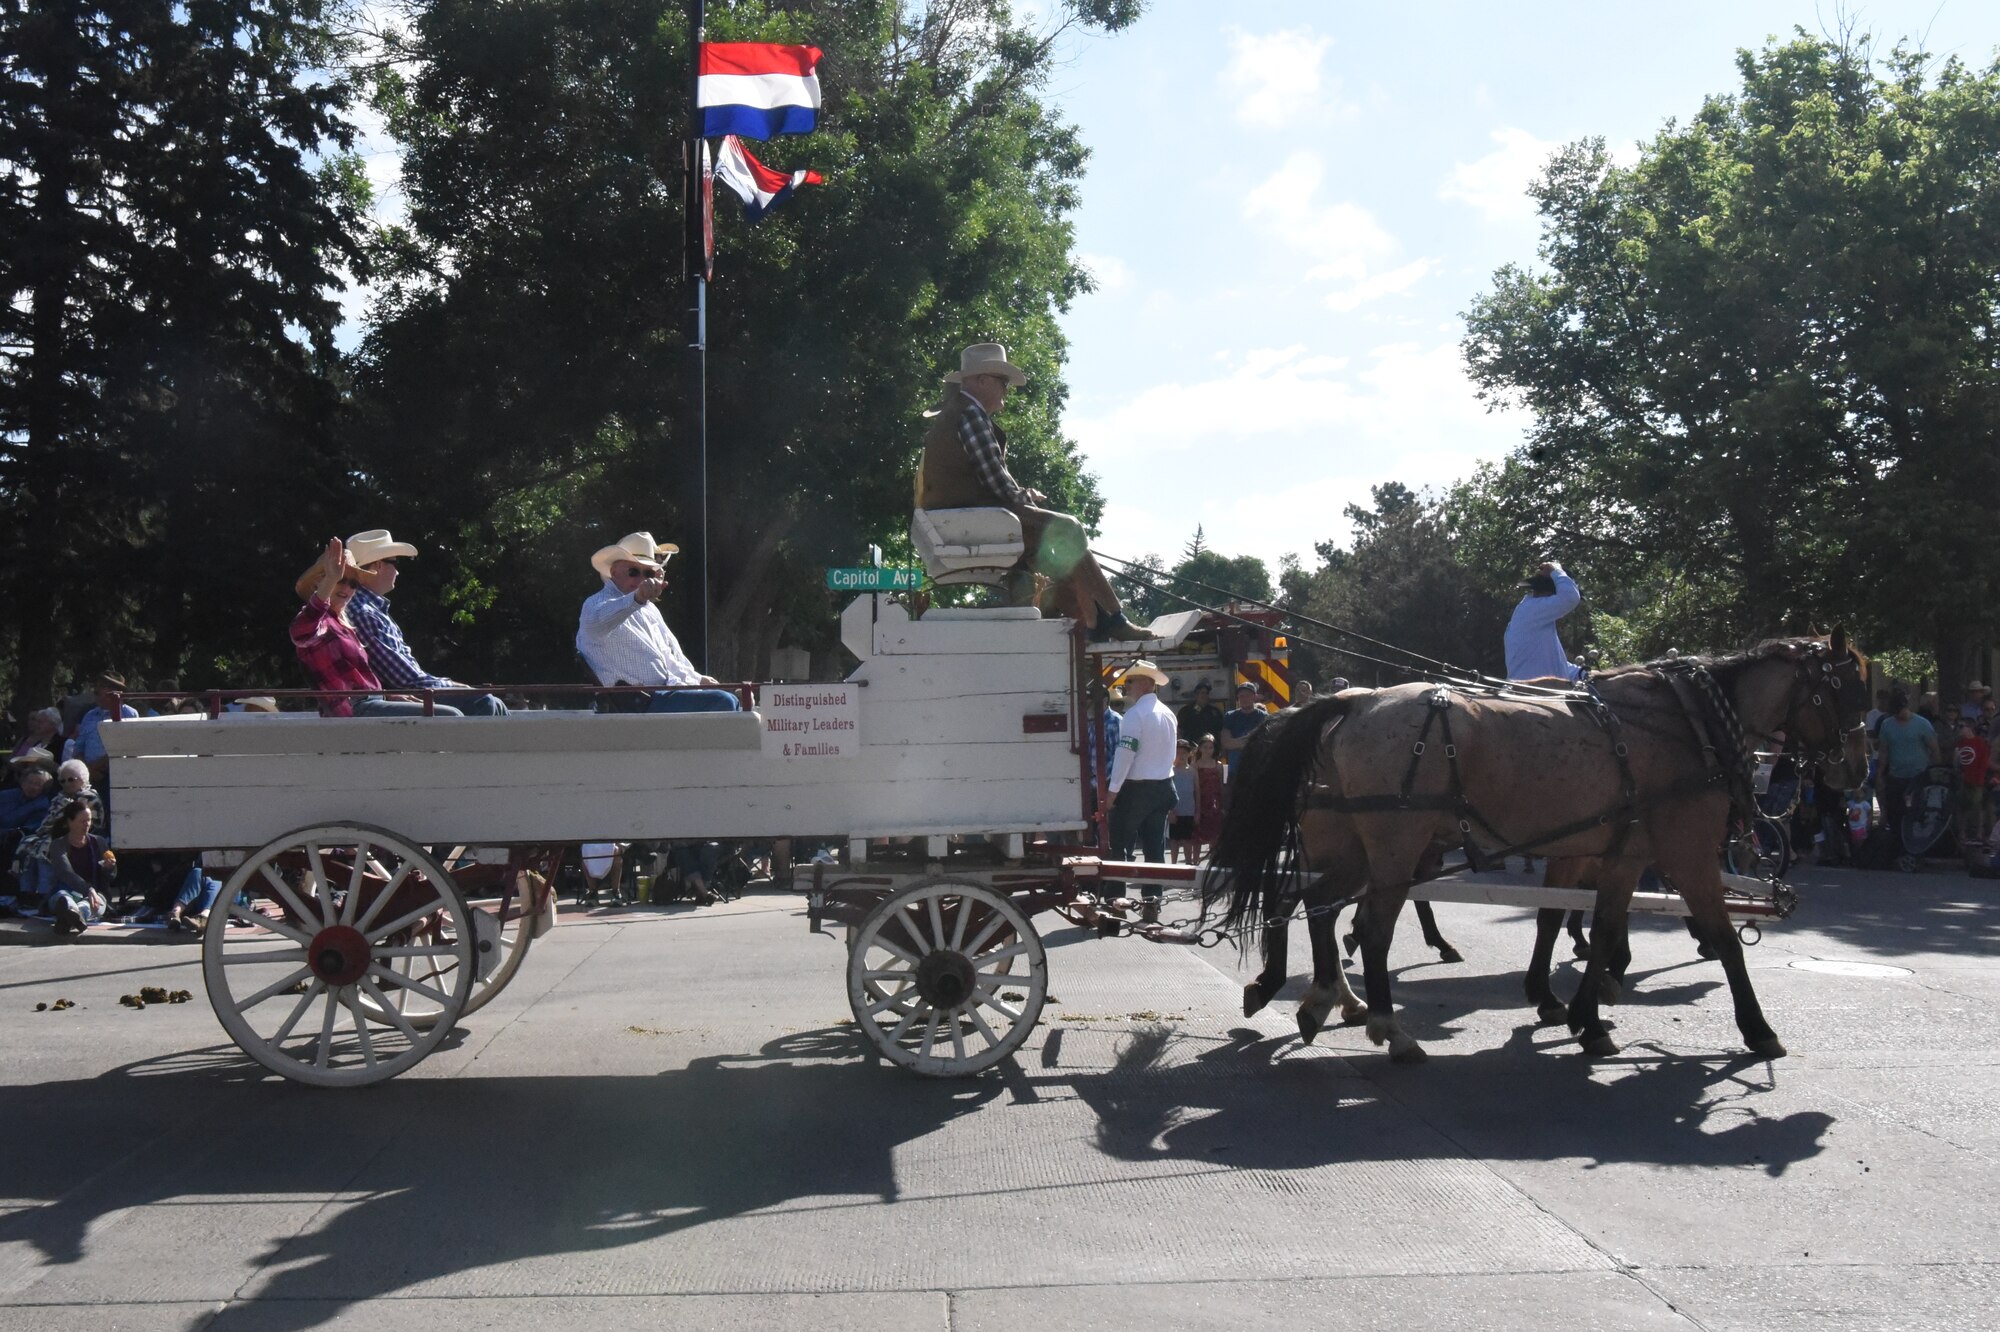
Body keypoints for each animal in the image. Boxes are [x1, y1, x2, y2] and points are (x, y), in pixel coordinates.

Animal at [1192, 632, 1864, 1056]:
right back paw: (1388, 1027)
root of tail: (1350, 703)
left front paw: (1582, 1011)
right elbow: (1721, 940)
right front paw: (1757, 1028)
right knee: (1370, 926)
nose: (1853, 770)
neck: (1684, 724)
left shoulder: (1617, 854)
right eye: (1845, 685)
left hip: (1353, 849)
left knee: (1311, 906)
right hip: (1395, 847)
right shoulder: (1687, 851)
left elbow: (1581, 926)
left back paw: (1318, 996)